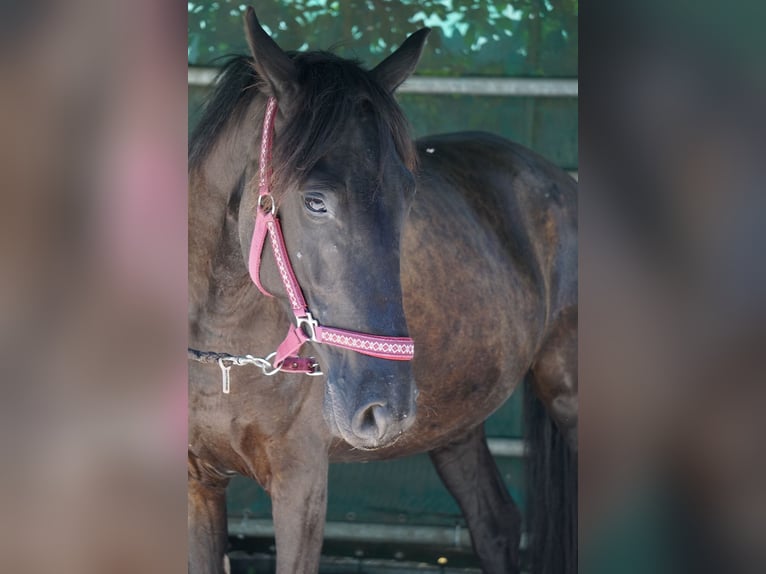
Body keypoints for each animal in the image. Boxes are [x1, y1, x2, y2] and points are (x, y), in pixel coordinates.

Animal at [189, 9, 580, 574]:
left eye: (408, 194)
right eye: (315, 201)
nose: (384, 410)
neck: (222, 350)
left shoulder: (301, 486)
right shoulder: (199, 485)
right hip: (457, 421)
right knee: (496, 523)